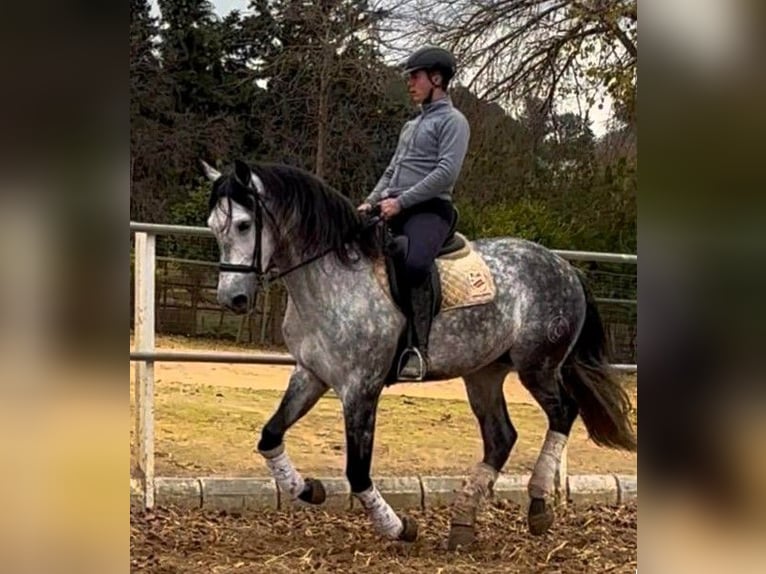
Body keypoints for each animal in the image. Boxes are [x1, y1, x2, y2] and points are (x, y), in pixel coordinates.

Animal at [201, 158, 636, 549]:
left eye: (243, 224)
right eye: (214, 227)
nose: (232, 299)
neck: (331, 279)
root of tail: (564, 267)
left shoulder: (361, 388)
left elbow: (357, 471)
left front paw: (398, 528)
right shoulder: (312, 374)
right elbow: (270, 436)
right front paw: (309, 489)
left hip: (538, 367)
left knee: (563, 413)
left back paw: (538, 507)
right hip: (484, 373)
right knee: (501, 437)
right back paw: (463, 525)